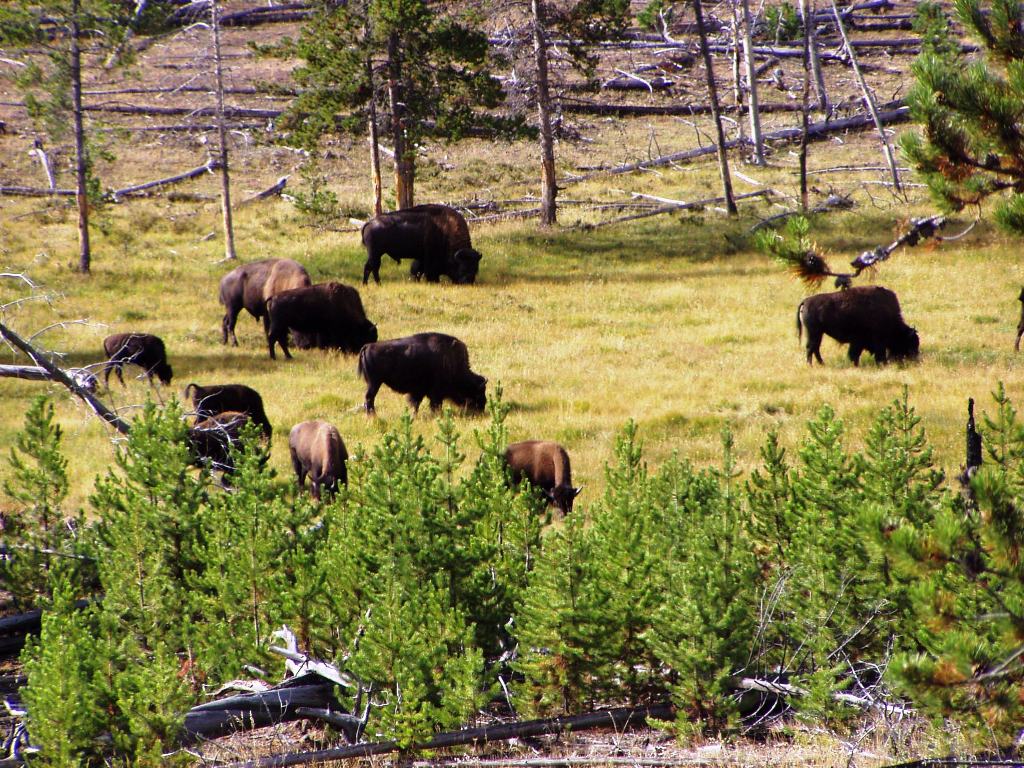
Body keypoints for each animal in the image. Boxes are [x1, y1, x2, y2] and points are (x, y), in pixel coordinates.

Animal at [357, 332, 487, 415]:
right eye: (479, 392)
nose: (482, 407)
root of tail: (368, 346)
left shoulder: (419, 391)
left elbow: (416, 403)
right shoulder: (435, 393)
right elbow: (433, 404)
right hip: (374, 383)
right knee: (369, 398)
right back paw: (372, 415)